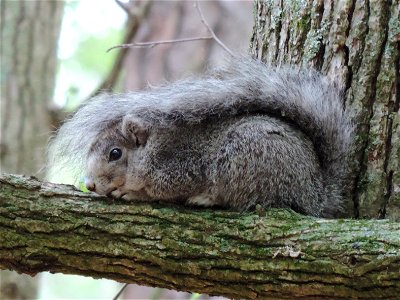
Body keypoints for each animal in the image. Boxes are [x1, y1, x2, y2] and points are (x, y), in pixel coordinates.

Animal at [49, 55, 354, 217]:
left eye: (115, 153)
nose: (89, 185)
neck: (153, 149)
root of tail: (316, 193)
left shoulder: (180, 168)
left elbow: (162, 192)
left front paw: (131, 193)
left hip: (246, 161)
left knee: (244, 200)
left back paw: (205, 199)